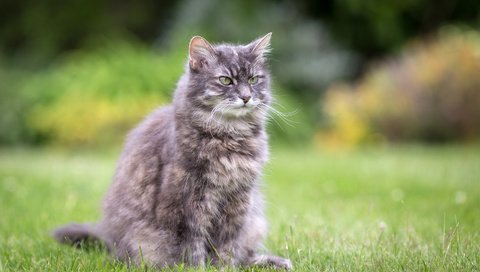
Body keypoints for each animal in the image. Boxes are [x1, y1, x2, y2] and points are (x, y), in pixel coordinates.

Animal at [53, 33, 292, 270]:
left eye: (253, 80)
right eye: (225, 80)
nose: (246, 97)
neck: (229, 138)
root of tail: (107, 238)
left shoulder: (238, 201)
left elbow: (227, 246)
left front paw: (223, 267)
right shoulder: (187, 205)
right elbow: (193, 245)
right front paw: (200, 268)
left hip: (255, 221)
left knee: (246, 254)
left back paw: (274, 262)